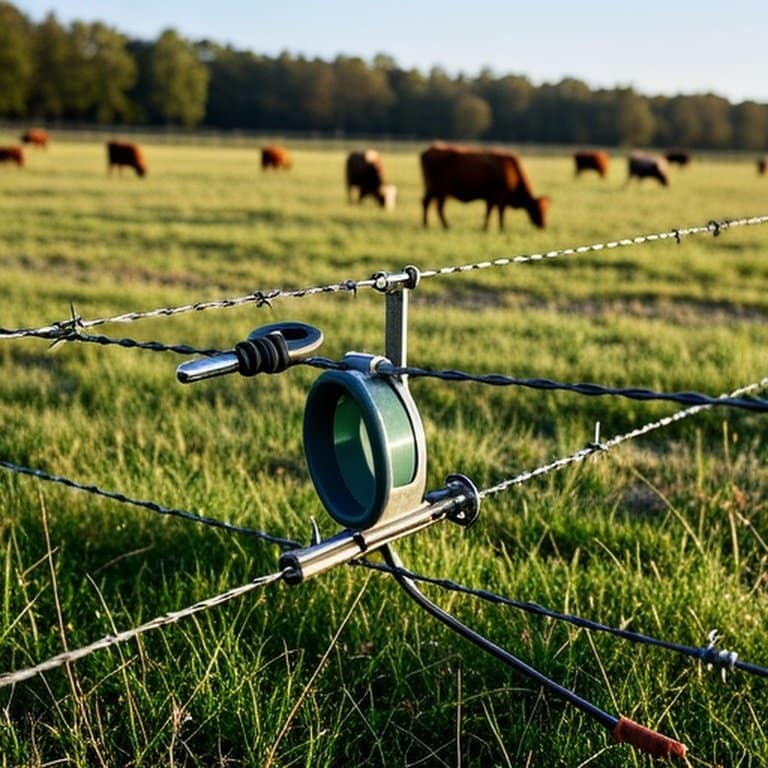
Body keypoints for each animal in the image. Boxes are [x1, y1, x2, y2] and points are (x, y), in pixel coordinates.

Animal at [420, 143, 550, 230]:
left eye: (546, 210)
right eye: (538, 210)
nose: (543, 225)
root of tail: (429, 150)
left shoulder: (490, 198)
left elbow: (489, 212)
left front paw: (485, 228)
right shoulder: (499, 197)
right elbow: (499, 213)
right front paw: (501, 228)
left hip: (431, 189)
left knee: (426, 203)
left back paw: (426, 225)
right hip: (441, 191)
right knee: (439, 208)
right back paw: (447, 226)